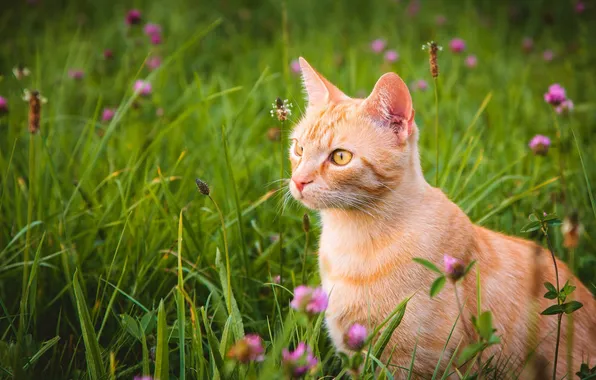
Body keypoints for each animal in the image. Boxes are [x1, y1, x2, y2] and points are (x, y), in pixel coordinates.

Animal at [288, 58, 596, 378]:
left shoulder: (413, 362)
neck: (352, 240)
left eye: (340, 158)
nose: (298, 181)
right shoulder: (354, 353)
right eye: (298, 149)